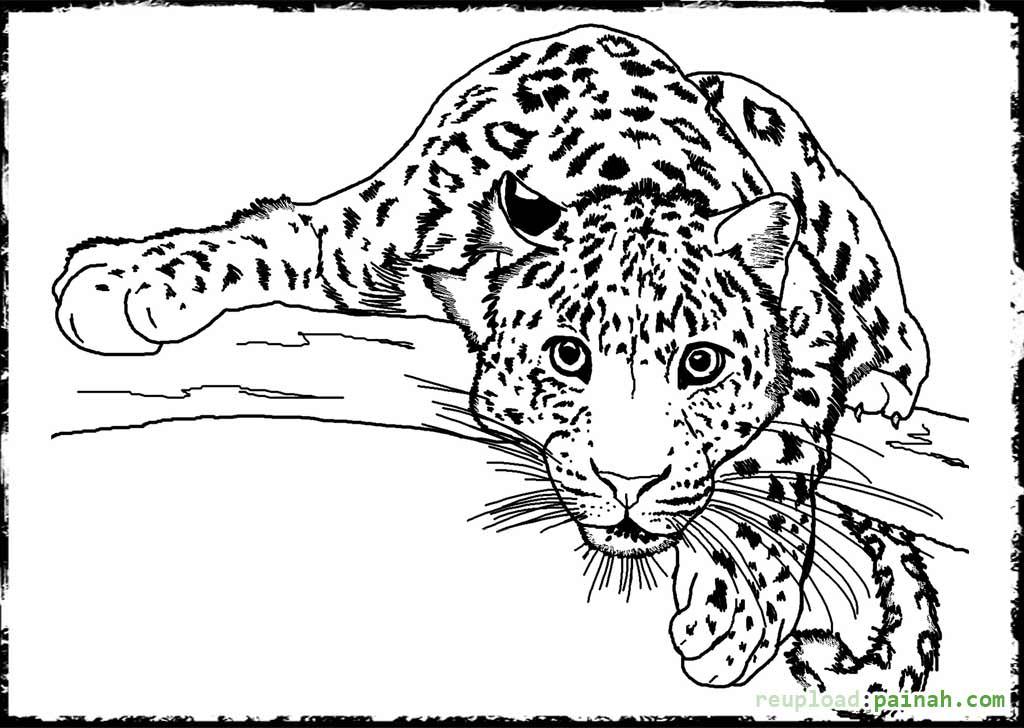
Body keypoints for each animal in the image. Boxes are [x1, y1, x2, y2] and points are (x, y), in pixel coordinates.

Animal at [53, 24, 938, 694]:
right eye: (568, 356)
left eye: (701, 365)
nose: (630, 482)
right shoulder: (355, 236)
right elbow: (254, 240)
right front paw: (120, 281)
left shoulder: (810, 319)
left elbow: (780, 460)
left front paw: (735, 614)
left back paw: (889, 374)